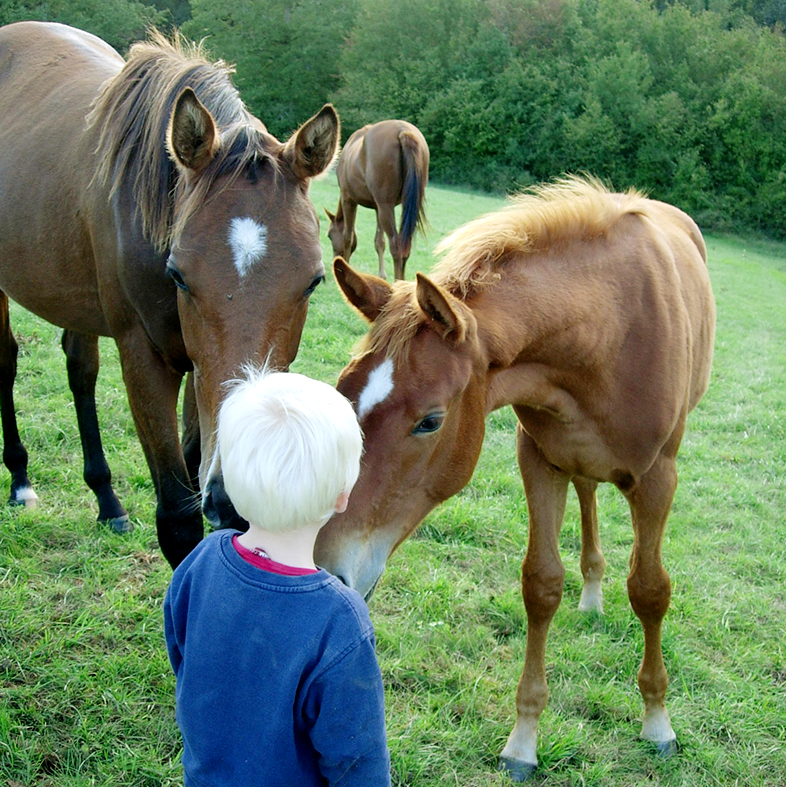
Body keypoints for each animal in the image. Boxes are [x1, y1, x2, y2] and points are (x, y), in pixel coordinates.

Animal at [0, 21, 338, 568]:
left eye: (313, 280)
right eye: (178, 275)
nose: (236, 494)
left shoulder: (199, 374)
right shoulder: (146, 358)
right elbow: (178, 517)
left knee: (80, 370)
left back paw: (107, 500)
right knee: (6, 362)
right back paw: (21, 481)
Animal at [316, 177, 712, 780]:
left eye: (430, 420)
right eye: (341, 393)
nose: (325, 568)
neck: (606, 331)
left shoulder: (657, 478)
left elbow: (650, 590)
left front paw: (657, 722)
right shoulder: (539, 460)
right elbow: (541, 585)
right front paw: (524, 740)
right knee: (588, 492)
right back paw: (590, 591)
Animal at [324, 121, 426, 282]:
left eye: (329, 235)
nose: (334, 262)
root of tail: (403, 131)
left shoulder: (348, 199)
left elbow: (348, 236)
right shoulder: (378, 208)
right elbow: (379, 242)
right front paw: (382, 275)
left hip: (385, 206)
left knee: (396, 246)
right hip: (404, 207)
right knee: (405, 246)